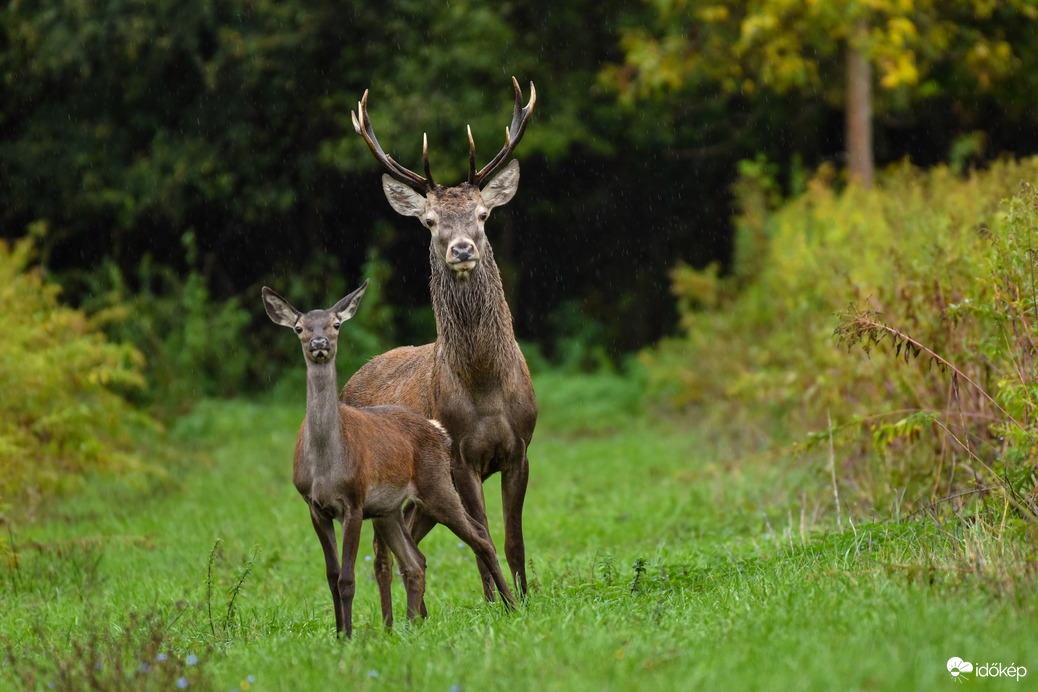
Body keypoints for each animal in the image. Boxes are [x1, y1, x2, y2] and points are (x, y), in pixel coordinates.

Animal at [263, 282, 514, 639]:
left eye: (336, 324)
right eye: (299, 328)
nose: (319, 344)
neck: (326, 464)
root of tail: (438, 430)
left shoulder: (354, 501)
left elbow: (347, 577)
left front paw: (348, 638)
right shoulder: (313, 506)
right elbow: (331, 575)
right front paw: (338, 633)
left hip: (437, 485)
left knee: (479, 537)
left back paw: (513, 605)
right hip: (388, 510)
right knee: (415, 560)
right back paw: (409, 626)